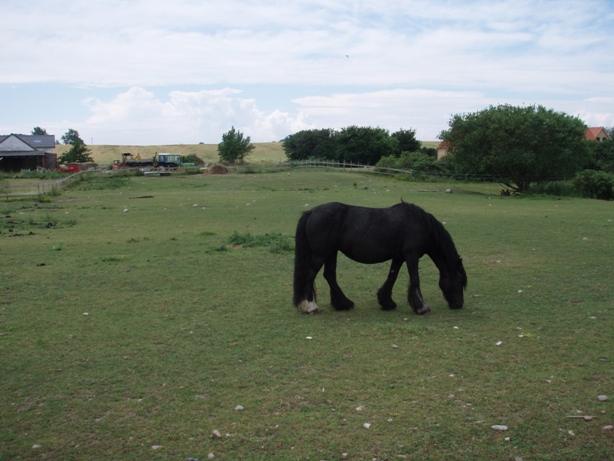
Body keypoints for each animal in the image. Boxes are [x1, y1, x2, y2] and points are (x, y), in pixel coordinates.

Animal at [294, 203, 466, 314]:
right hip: (321, 254)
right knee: (310, 276)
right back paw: (310, 306)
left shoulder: (399, 258)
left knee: (329, 276)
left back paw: (344, 304)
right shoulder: (412, 255)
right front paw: (421, 307)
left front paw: (387, 302)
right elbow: (415, 280)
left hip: (331, 253)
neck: (421, 225)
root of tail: (311, 212)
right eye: (459, 281)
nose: (458, 304)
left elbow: (392, 278)